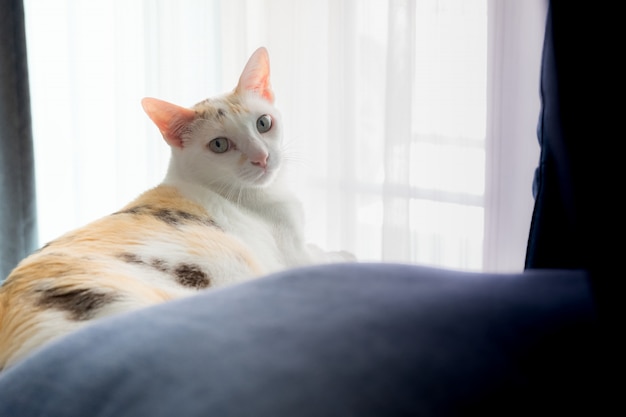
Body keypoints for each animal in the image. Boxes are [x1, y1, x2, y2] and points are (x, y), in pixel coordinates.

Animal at [0, 47, 352, 368]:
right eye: (220, 145)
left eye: (264, 123)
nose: (262, 158)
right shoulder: (294, 256)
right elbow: (327, 257)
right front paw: (343, 254)